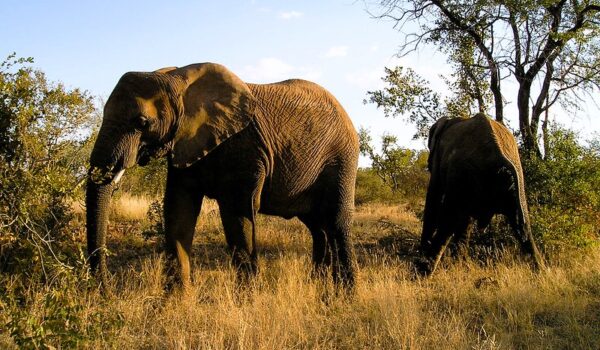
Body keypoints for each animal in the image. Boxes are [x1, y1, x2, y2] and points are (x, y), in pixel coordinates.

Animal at [84, 62, 356, 290]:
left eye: (142, 122)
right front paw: (176, 302)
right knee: (318, 227)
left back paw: (345, 294)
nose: (106, 290)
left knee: (336, 221)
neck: (178, 79)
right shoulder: (185, 143)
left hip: (341, 159)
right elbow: (178, 211)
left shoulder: (244, 149)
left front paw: (248, 301)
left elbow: (238, 215)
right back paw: (320, 288)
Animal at [420, 113, 548, 274]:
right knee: (524, 228)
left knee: (449, 221)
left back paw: (422, 270)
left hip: (467, 174)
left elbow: (435, 196)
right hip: (513, 182)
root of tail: (501, 158)